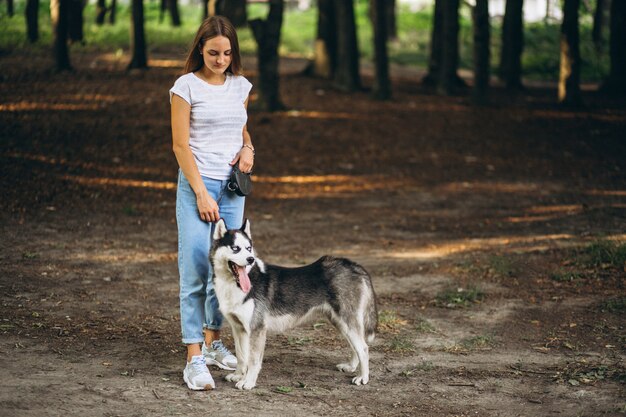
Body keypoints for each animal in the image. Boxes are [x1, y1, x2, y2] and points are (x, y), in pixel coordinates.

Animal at [208, 219, 376, 388]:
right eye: (235, 248)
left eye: (249, 248)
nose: (251, 259)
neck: (234, 285)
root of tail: (354, 265)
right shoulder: (239, 329)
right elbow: (242, 357)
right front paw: (238, 376)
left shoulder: (257, 329)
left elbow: (253, 360)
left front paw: (248, 382)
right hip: (341, 323)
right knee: (356, 346)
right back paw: (351, 367)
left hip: (346, 321)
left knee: (363, 348)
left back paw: (363, 377)